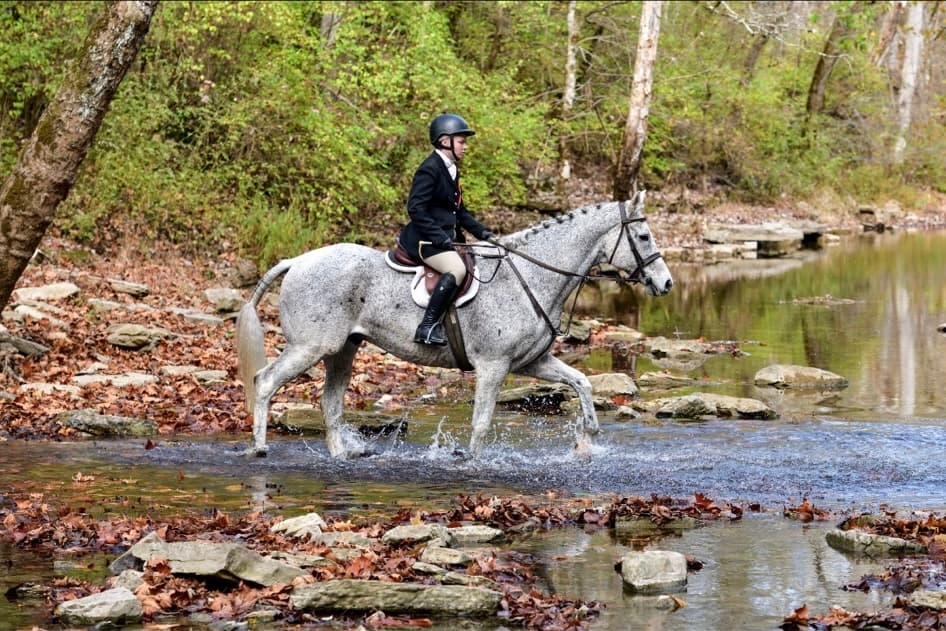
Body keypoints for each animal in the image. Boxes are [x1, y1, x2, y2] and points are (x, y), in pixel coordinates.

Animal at [236, 191, 673, 459]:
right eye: (643, 236)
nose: (666, 283)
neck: (531, 276)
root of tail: (297, 260)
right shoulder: (494, 366)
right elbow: (481, 423)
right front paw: (471, 462)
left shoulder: (532, 362)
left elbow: (581, 382)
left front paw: (588, 438)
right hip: (312, 347)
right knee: (266, 381)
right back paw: (259, 447)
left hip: (343, 349)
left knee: (330, 401)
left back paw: (340, 453)